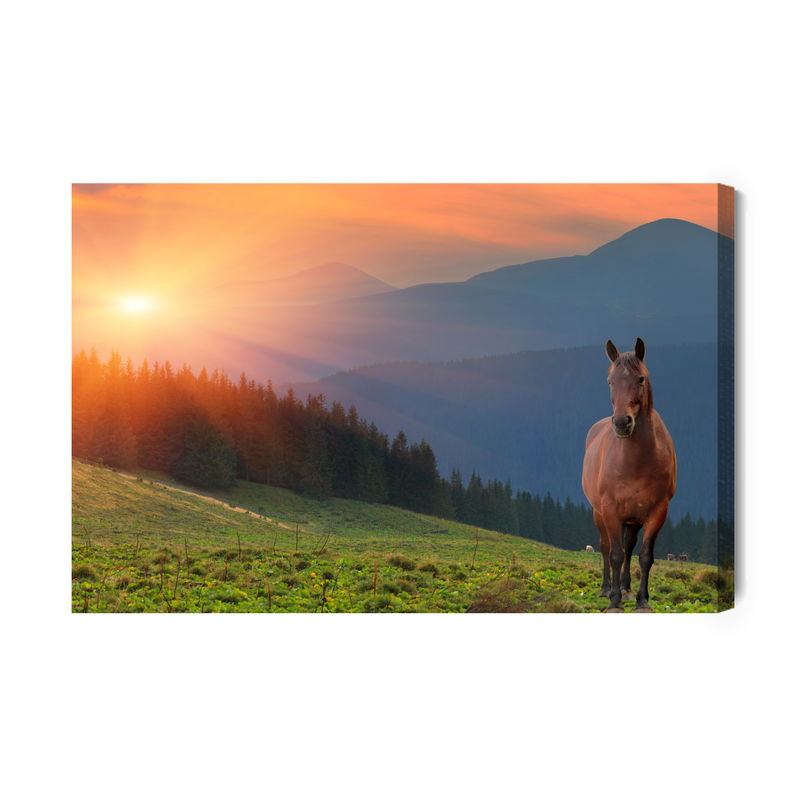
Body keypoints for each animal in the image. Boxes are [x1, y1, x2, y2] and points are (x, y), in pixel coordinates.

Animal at [581, 338, 677, 612]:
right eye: (610, 380)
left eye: (641, 378)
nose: (622, 423)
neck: (635, 461)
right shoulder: (610, 510)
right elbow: (614, 554)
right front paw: (614, 602)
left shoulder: (658, 512)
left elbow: (644, 557)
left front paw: (642, 600)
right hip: (599, 513)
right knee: (606, 547)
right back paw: (607, 589)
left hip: (633, 519)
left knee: (629, 546)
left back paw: (624, 588)